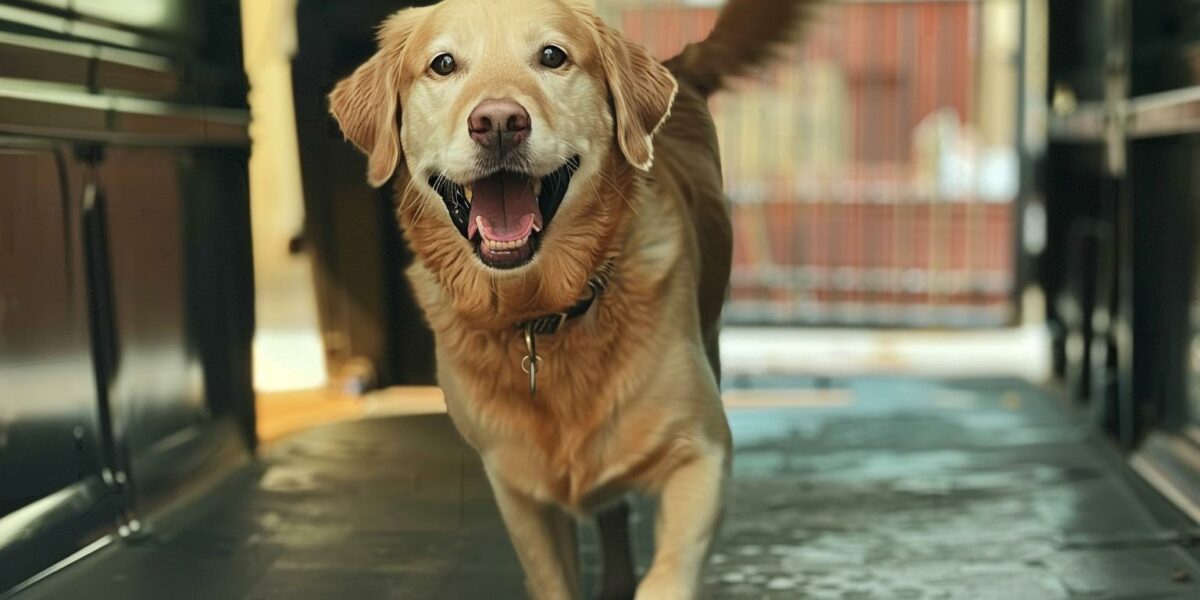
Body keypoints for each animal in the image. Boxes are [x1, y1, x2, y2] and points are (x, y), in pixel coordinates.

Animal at [328, 2, 816, 597]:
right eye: (442, 64)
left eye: (552, 56)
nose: (498, 122)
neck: (542, 316)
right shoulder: (520, 493)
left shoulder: (701, 454)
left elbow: (665, 576)